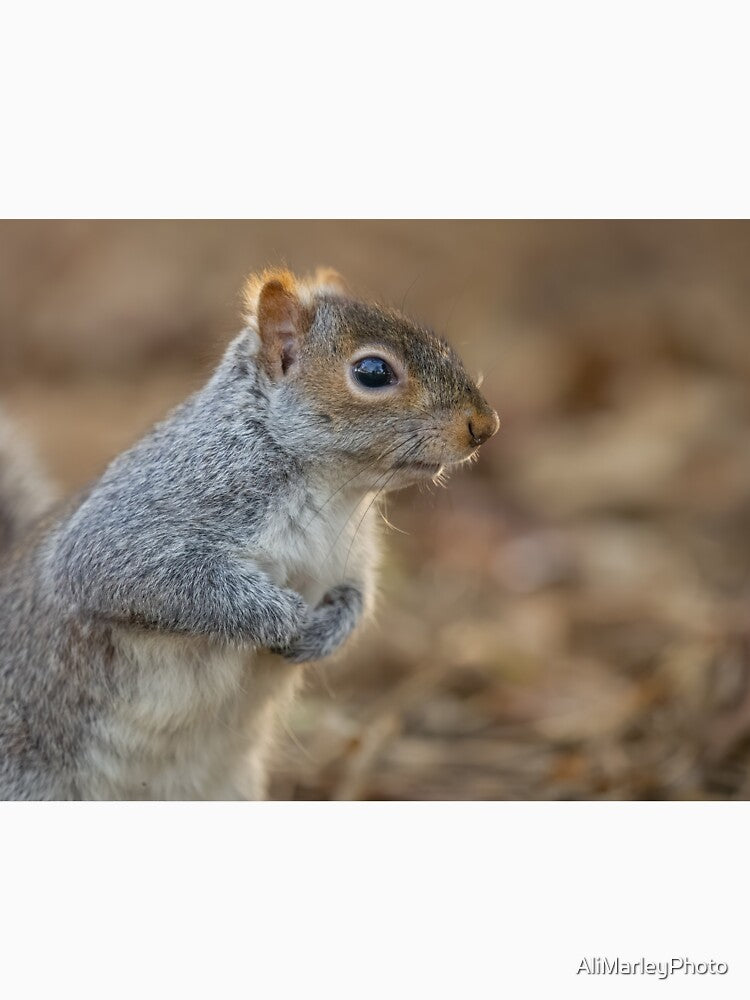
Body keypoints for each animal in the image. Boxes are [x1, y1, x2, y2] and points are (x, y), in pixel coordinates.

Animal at [0, 268, 498, 800]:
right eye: (372, 372)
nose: (485, 425)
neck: (330, 488)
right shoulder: (138, 519)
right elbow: (131, 572)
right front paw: (282, 617)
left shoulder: (350, 558)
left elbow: (357, 597)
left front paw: (324, 632)